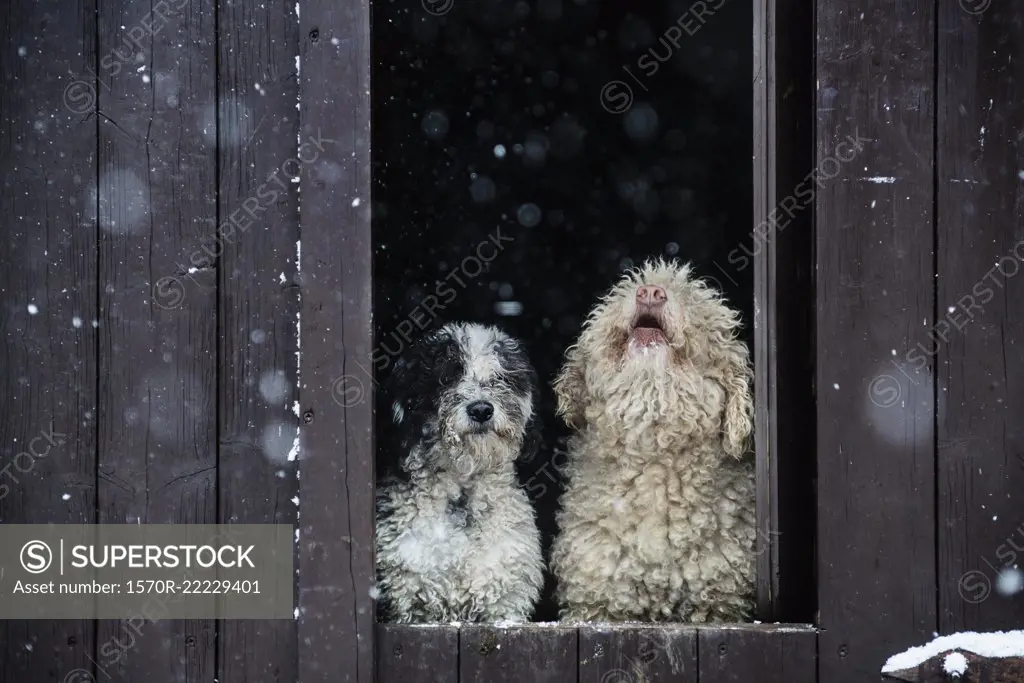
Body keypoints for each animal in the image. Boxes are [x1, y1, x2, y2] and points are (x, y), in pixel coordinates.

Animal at [372, 323, 544, 622]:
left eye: (501, 377)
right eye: (446, 377)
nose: (482, 409)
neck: (462, 494)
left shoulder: (506, 603)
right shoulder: (409, 602)